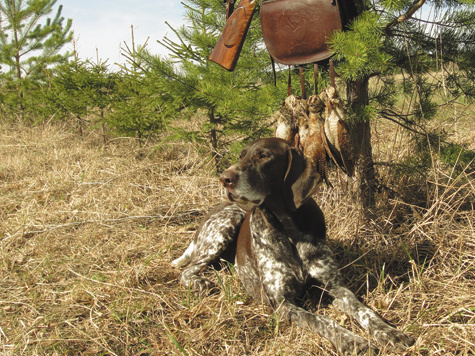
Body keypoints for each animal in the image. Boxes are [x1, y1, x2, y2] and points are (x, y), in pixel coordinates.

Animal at [173, 137, 414, 356]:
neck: (287, 229)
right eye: (241, 156)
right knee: (188, 269)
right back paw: (199, 283)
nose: (224, 178)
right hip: (227, 223)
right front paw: (353, 341)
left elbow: (364, 311)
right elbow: (322, 321)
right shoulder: (282, 303)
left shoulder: (336, 288)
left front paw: (390, 333)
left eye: (264, 156)